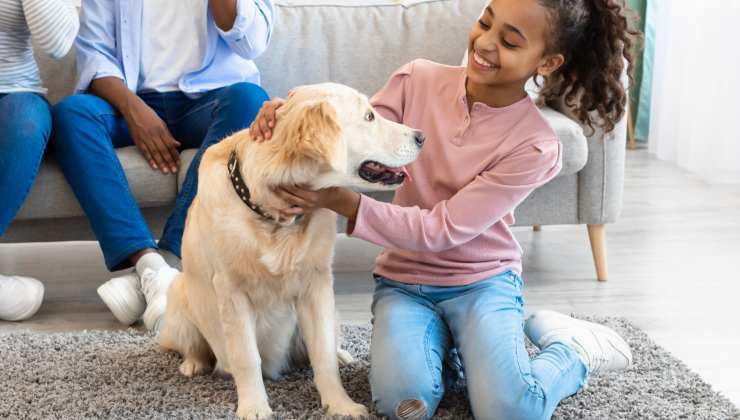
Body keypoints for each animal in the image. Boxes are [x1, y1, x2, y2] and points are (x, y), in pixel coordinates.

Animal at [159, 83, 424, 420]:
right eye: (369, 116)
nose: (421, 136)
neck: (275, 216)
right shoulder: (231, 292)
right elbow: (246, 357)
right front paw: (254, 406)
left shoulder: (317, 284)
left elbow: (322, 353)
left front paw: (339, 404)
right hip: (179, 294)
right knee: (192, 345)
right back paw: (193, 363)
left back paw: (342, 354)